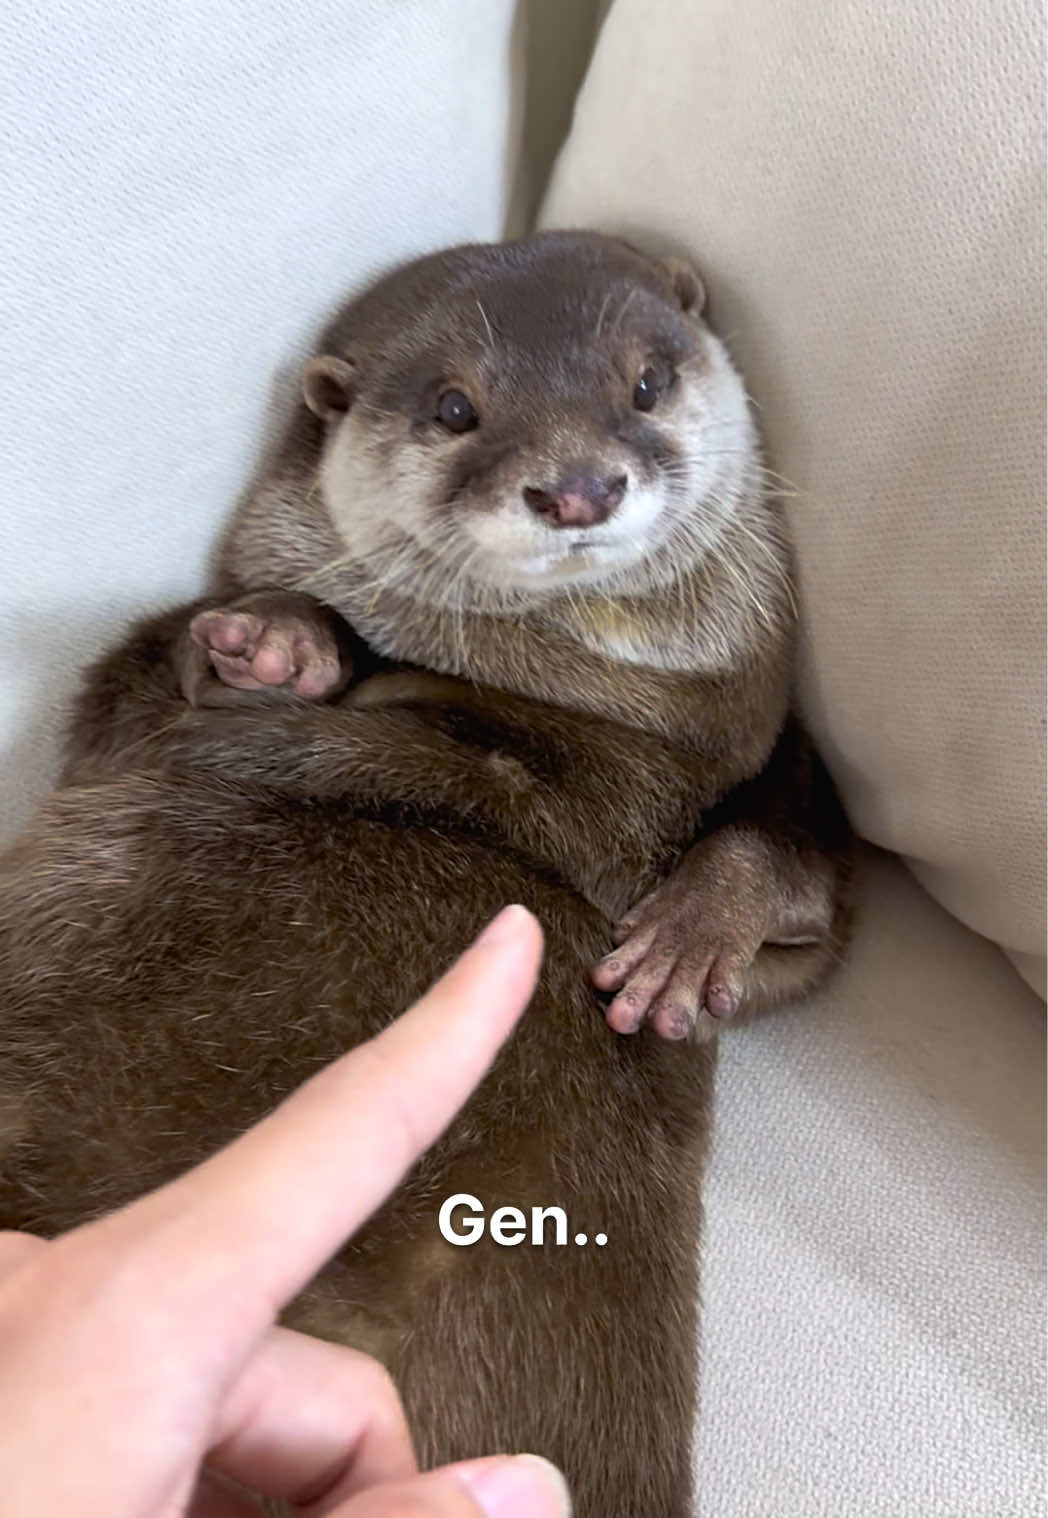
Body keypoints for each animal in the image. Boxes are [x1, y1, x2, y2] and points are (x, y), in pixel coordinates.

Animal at [0, 231, 852, 1516]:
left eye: (646, 383)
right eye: (456, 409)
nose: (576, 486)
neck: (561, 691)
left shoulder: (758, 761)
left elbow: (801, 899)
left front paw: (689, 936)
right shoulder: (138, 716)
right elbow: (150, 685)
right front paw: (284, 641)